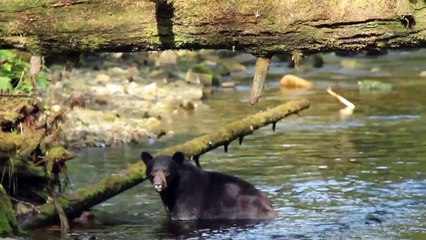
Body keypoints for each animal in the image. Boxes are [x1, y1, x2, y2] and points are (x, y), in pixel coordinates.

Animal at [141, 151, 278, 220]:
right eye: (153, 171)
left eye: (166, 171)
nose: (158, 184)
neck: (175, 187)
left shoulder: (189, 197)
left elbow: (183, 215)